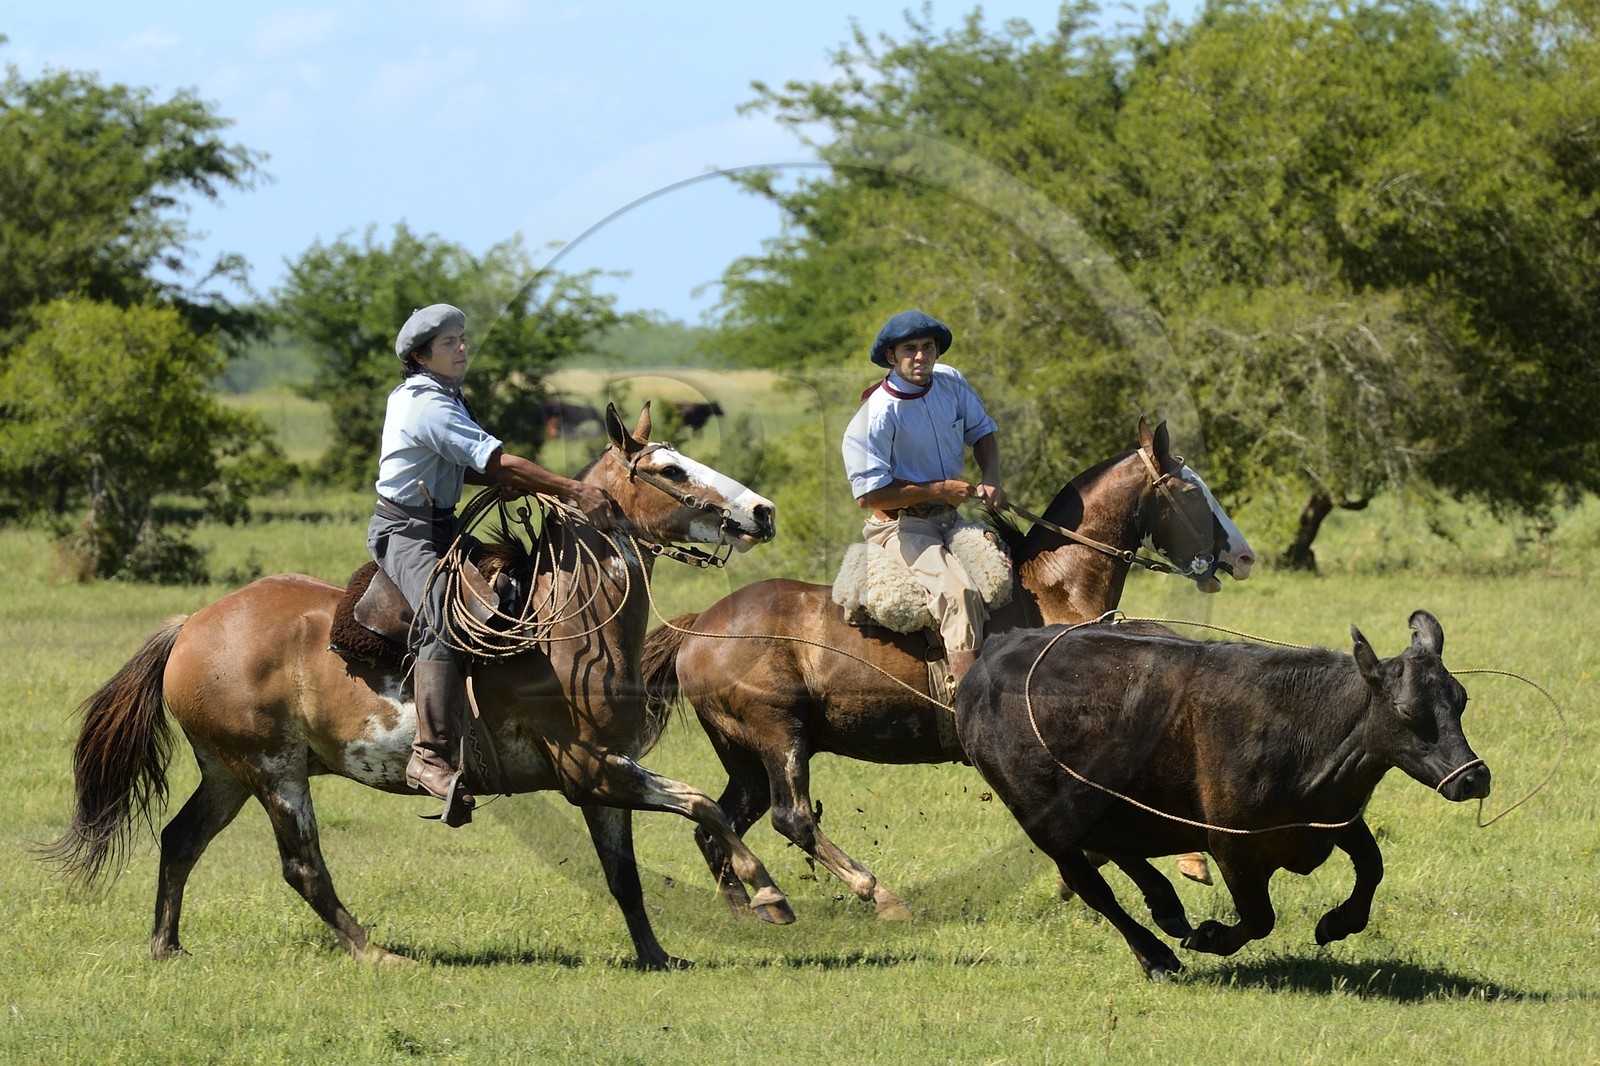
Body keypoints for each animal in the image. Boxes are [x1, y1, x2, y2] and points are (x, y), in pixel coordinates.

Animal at [954, 610, 1491, 979]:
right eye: (1406, 712)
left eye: (1461, 700)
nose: (1474, 778)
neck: (1306, 728)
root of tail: (995, 650)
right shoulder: (1231, 844)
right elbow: (1259, 917)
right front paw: (1211, 938)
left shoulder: (1334, 817)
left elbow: (1372, 866)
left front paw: (1337, 924)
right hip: (1046, 823)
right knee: (1093, 886)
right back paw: (1157, 955)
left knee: (1119, 849)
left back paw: (1166, 907)